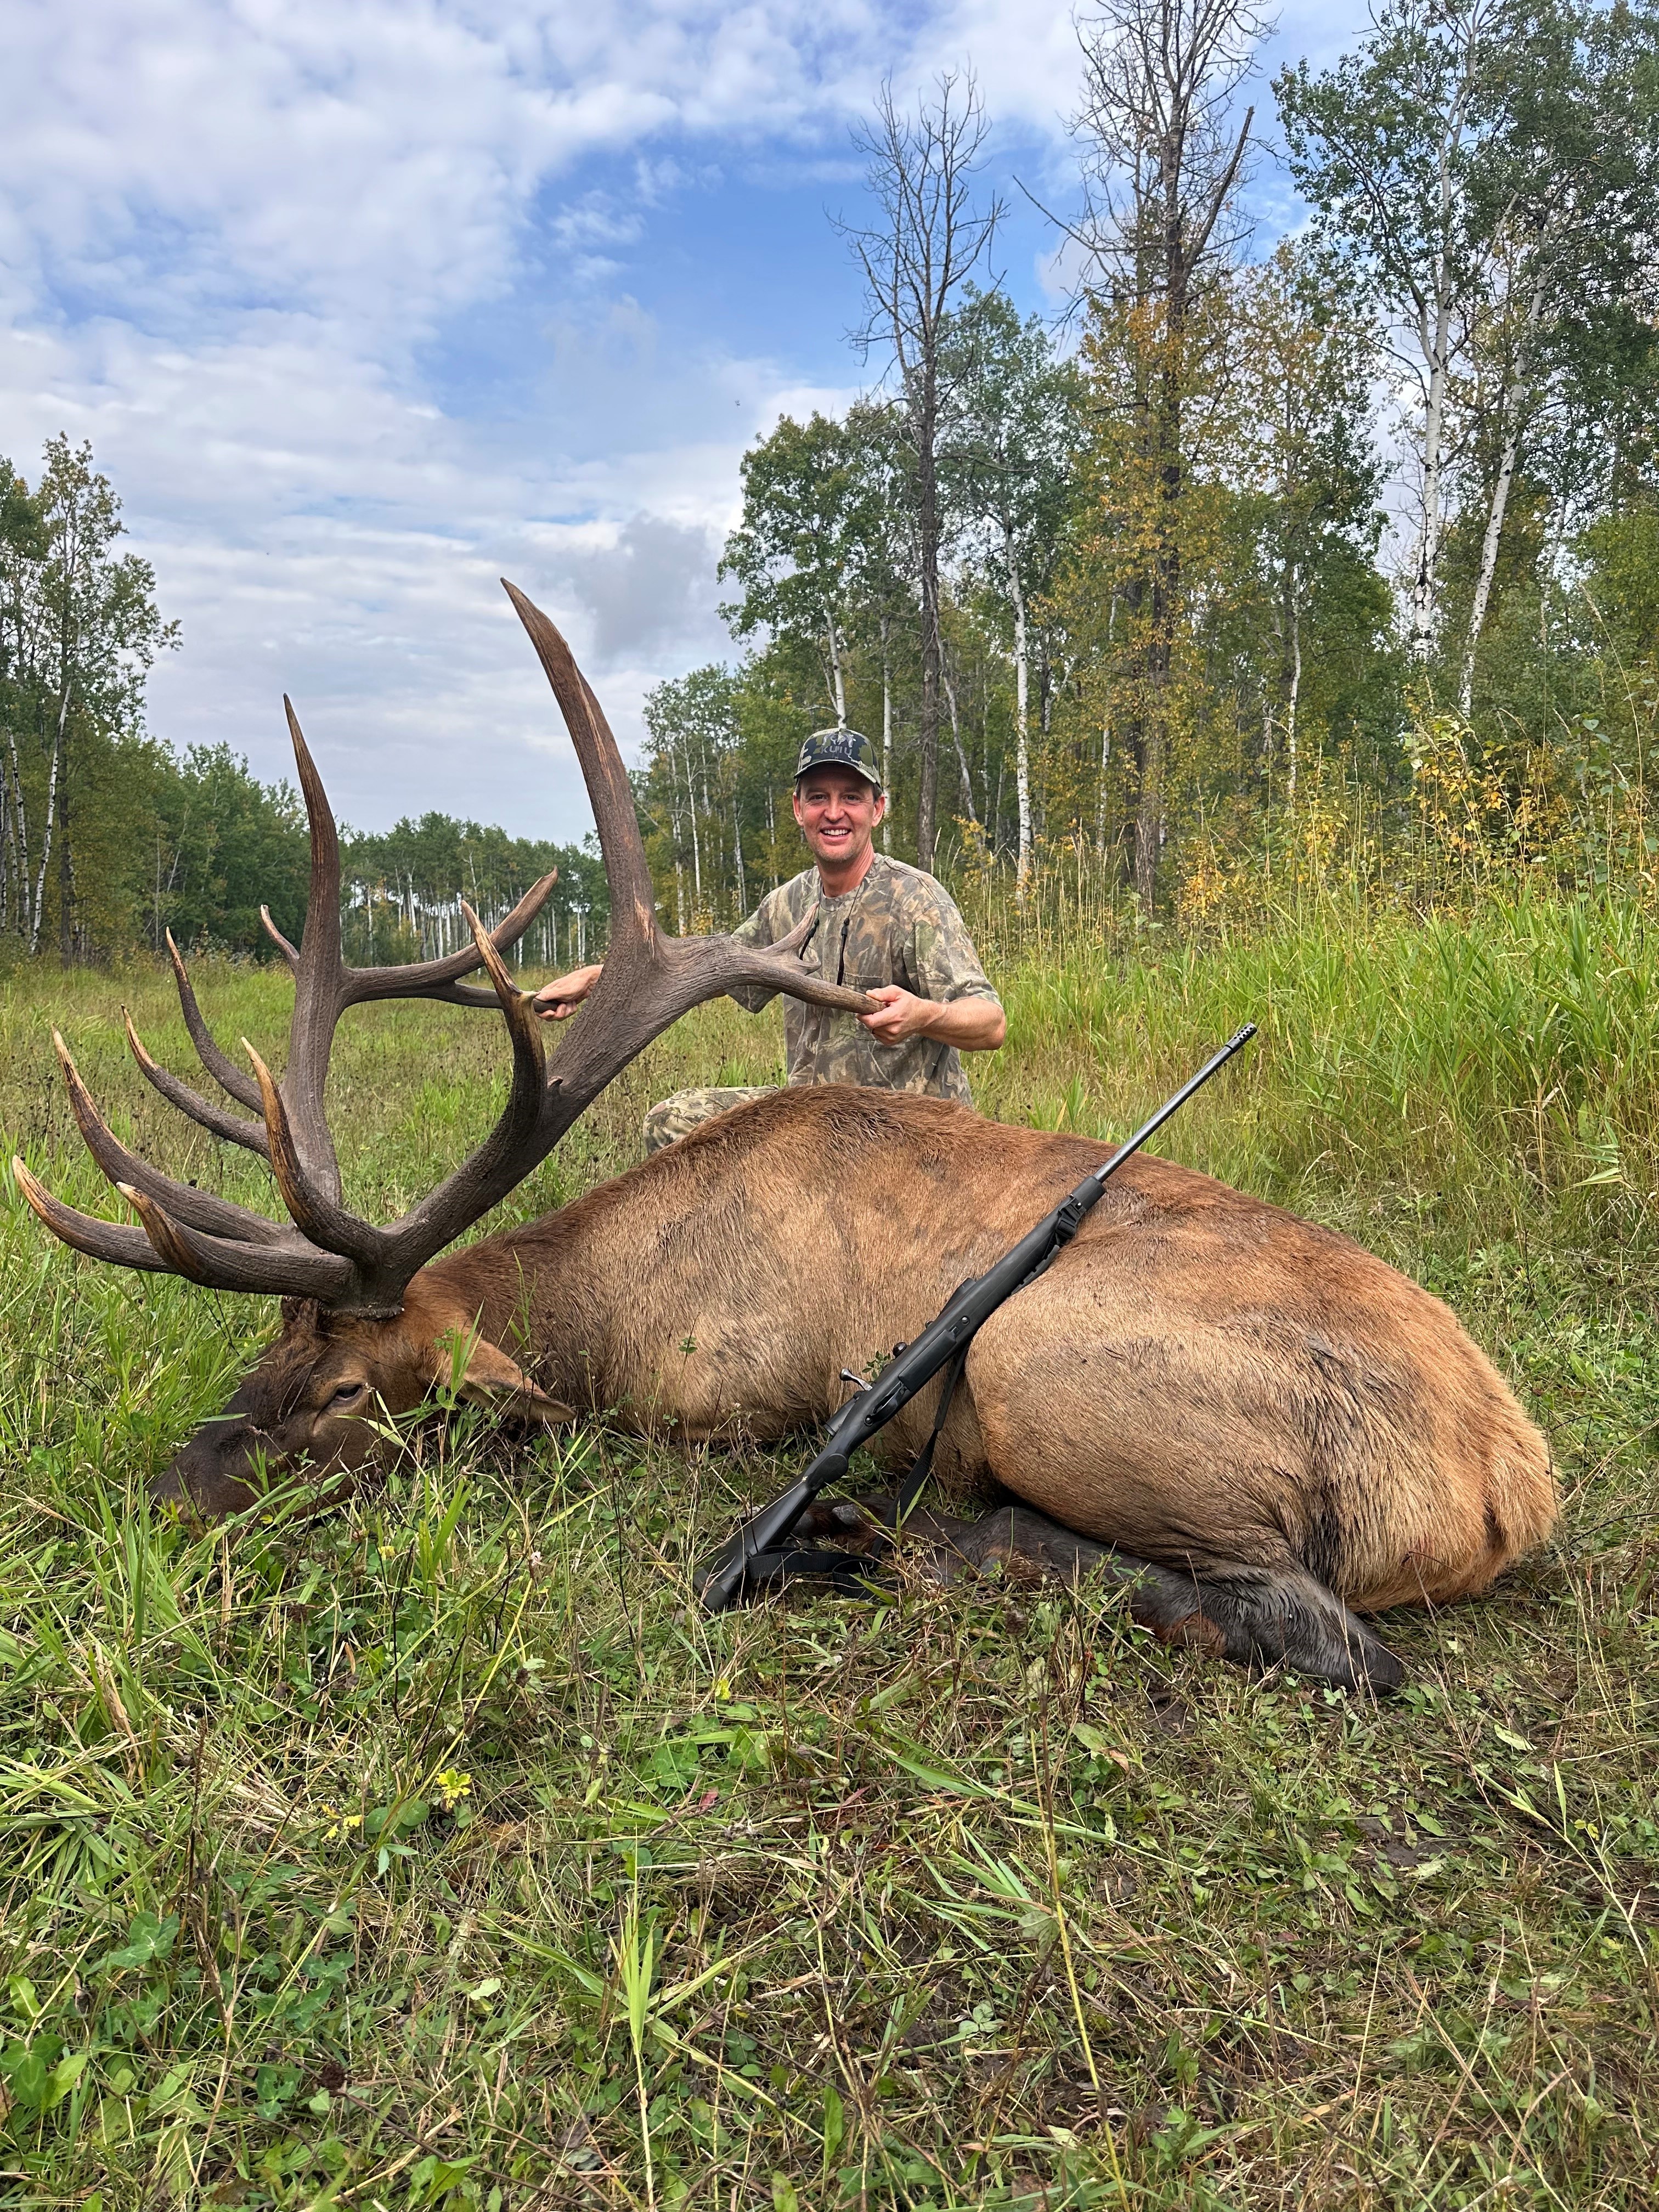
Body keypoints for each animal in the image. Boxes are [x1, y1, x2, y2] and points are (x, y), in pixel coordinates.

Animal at [13, 583, 1558, 1695]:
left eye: (344, 1393)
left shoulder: (722, 1399)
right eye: (265, 1348)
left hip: (1040, 1359)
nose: (172, 1491)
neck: (614, 1308)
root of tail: (1509, 1488)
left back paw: (916, 1537)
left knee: (1320, 1630)